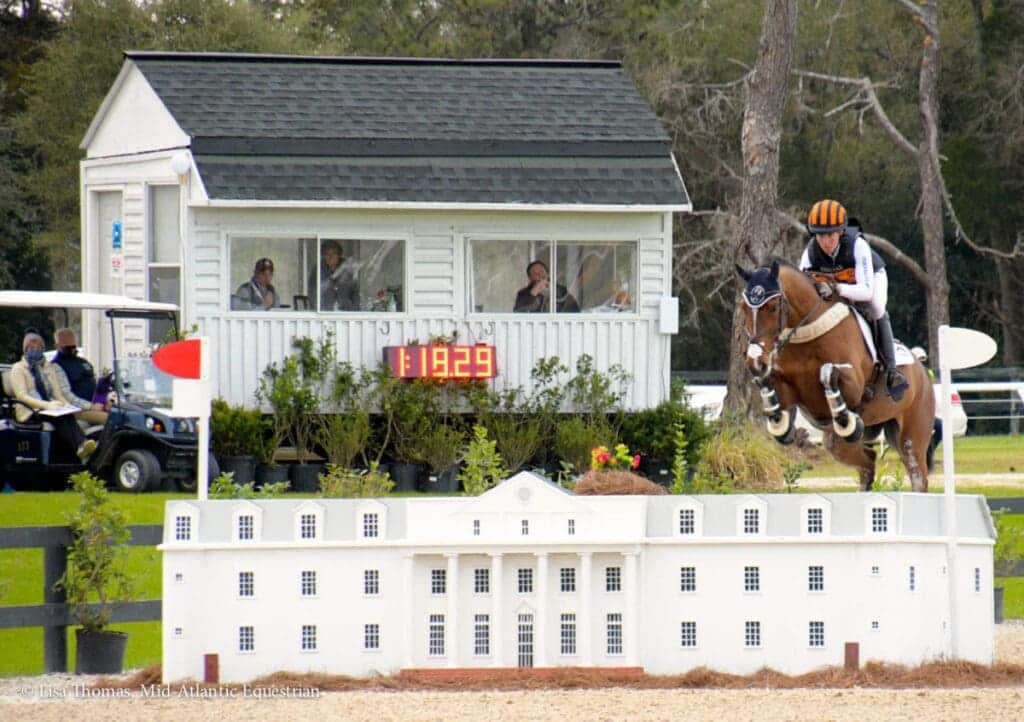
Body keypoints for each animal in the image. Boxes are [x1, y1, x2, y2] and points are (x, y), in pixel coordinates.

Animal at [737, 259, 937, 489]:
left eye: (773, 307)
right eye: (743, 307)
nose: (755, 362)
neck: (808, 332)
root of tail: (923, 372)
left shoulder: (854, 385)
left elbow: (827, 371)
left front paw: (844, 417)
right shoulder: (790, 391)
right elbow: (772, 390)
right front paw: (780, 424)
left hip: (912, 436)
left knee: (917, 475)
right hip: (838, 442)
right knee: (867, 461)